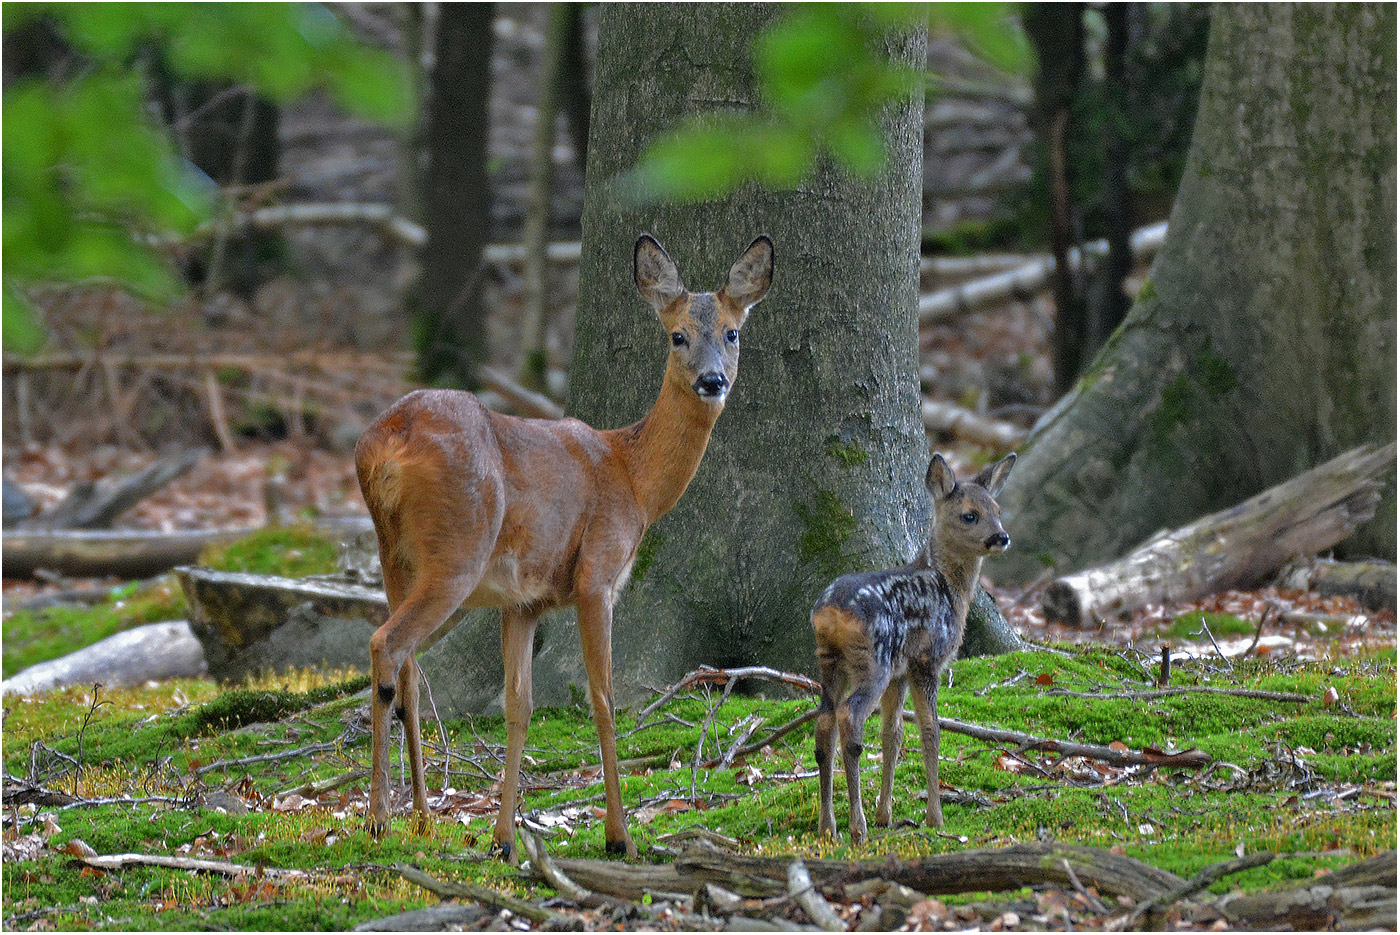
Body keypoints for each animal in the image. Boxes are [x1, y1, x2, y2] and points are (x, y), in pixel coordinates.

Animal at [348, 233, 767, 862]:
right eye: (677, 335)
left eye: (732, 332)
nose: (712, 380)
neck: (634, 479)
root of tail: (383, 447)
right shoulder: (597, 574)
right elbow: (604, 699)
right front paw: (620, 836)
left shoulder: (525, 602)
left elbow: (518, 707)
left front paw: (502, 839)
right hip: (457, 551)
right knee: (386, 644)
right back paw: (377, 819)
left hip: (392, 553)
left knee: (410, 674)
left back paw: (420, 817)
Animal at [812, 447, 1019, 845]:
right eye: (969, 515)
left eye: (998, 509)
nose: (1000, 537)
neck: (949, 590)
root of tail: (831, 612)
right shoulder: (927, 660)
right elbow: (930, 731)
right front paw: (935, 817)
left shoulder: (901, 669)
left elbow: (892, 734)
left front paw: (886, 814)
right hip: (872, 660)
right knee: (849, 716)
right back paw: (856, 827)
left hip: (831, 662)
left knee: (825, 721)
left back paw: (829, 827)